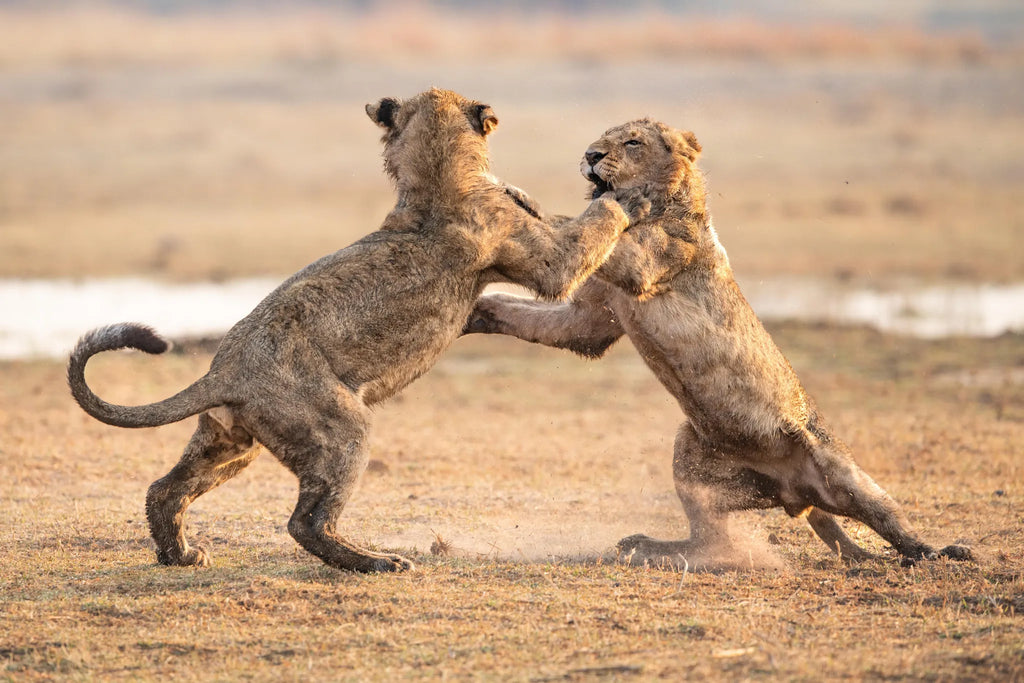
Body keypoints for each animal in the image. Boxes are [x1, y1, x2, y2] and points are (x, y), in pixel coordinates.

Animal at [68, 88, 635, 573]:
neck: (434, 177)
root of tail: (221, 370)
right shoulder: (546, 262)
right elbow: (586, 232)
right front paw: (621, 198)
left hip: (229, 441)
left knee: (164, 490)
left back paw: (180, 556)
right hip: (341, 428)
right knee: (306, 522)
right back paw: (379, 562)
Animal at [464, 118, 974, 568]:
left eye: (631, 142)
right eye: (602, 137)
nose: (591, 155)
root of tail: (796, 495)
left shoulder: (645, 264)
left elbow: (573, 222)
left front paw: (520, 198)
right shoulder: (591, 319)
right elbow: (532, 316)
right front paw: (475, 312)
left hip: (836, 468)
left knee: (886, 516)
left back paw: (939, 553)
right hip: (694, 456)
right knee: (710, 539)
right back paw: (649, 547)